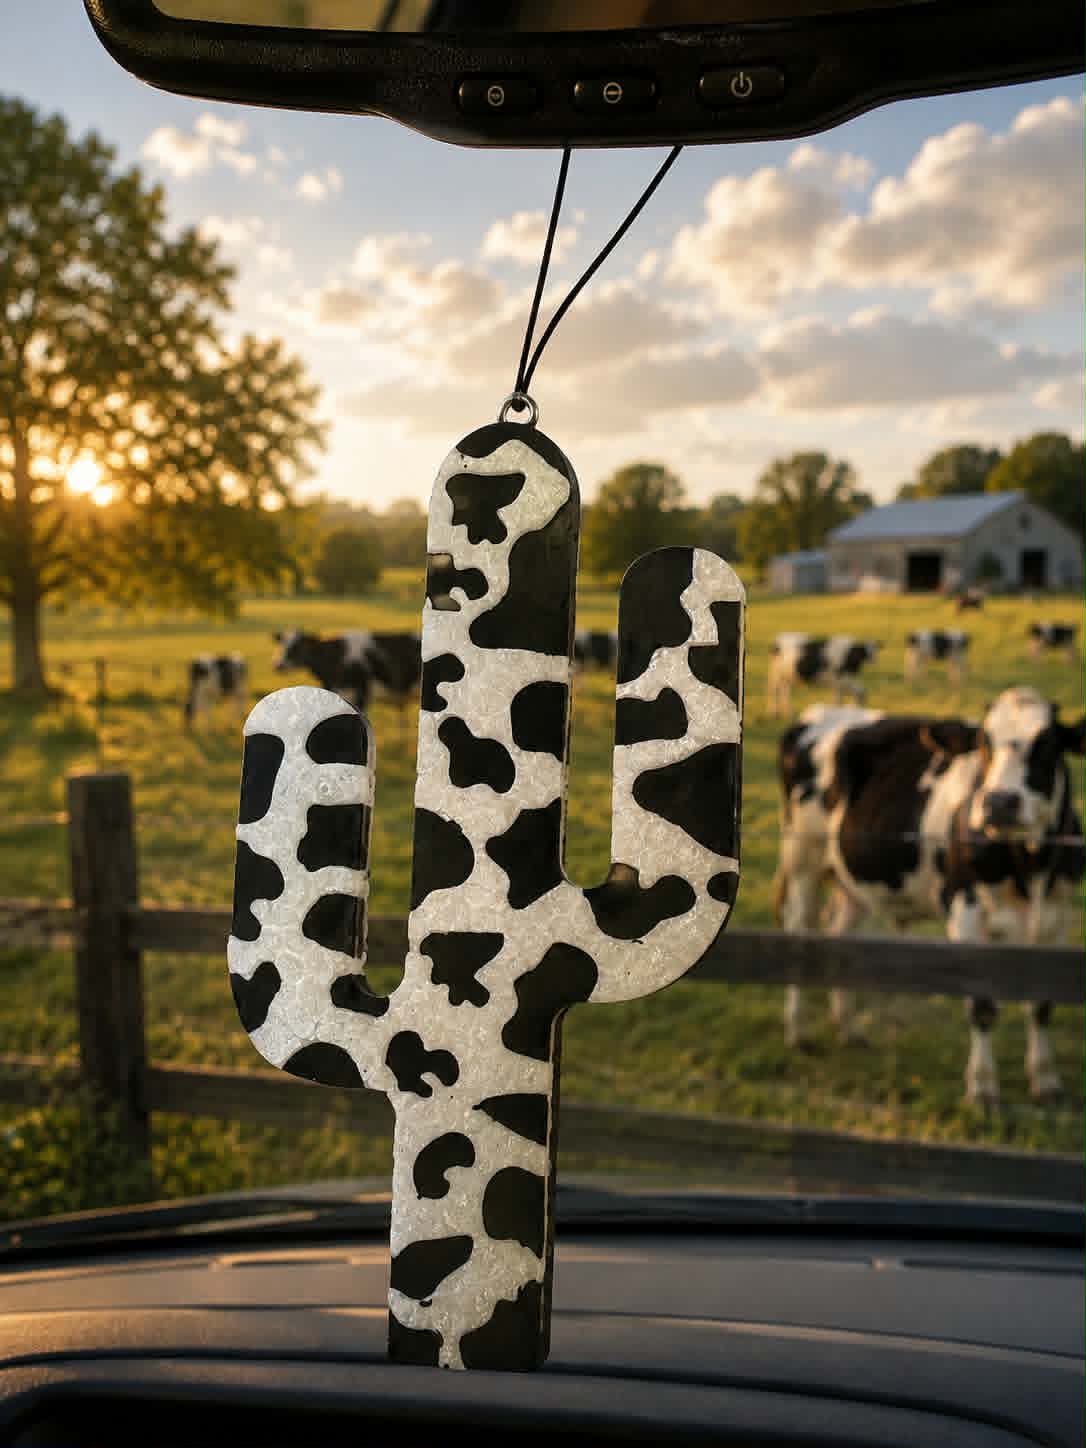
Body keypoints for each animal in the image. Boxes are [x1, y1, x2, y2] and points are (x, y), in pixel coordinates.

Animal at [774, 689, 1086, 1105]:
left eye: (1048, 744)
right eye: (983, 744)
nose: (999, 803)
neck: (1029, 867)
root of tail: (816, 713)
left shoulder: (1056, 915)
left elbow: (1042, 1003)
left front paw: (1046, 1080)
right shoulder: (966, 909)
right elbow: (982, 1005)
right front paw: (982, 1088)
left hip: (851, 876)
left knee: (840, 931)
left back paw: (849, 1029)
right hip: (803, 860)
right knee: (799, 934)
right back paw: (797, 1033)